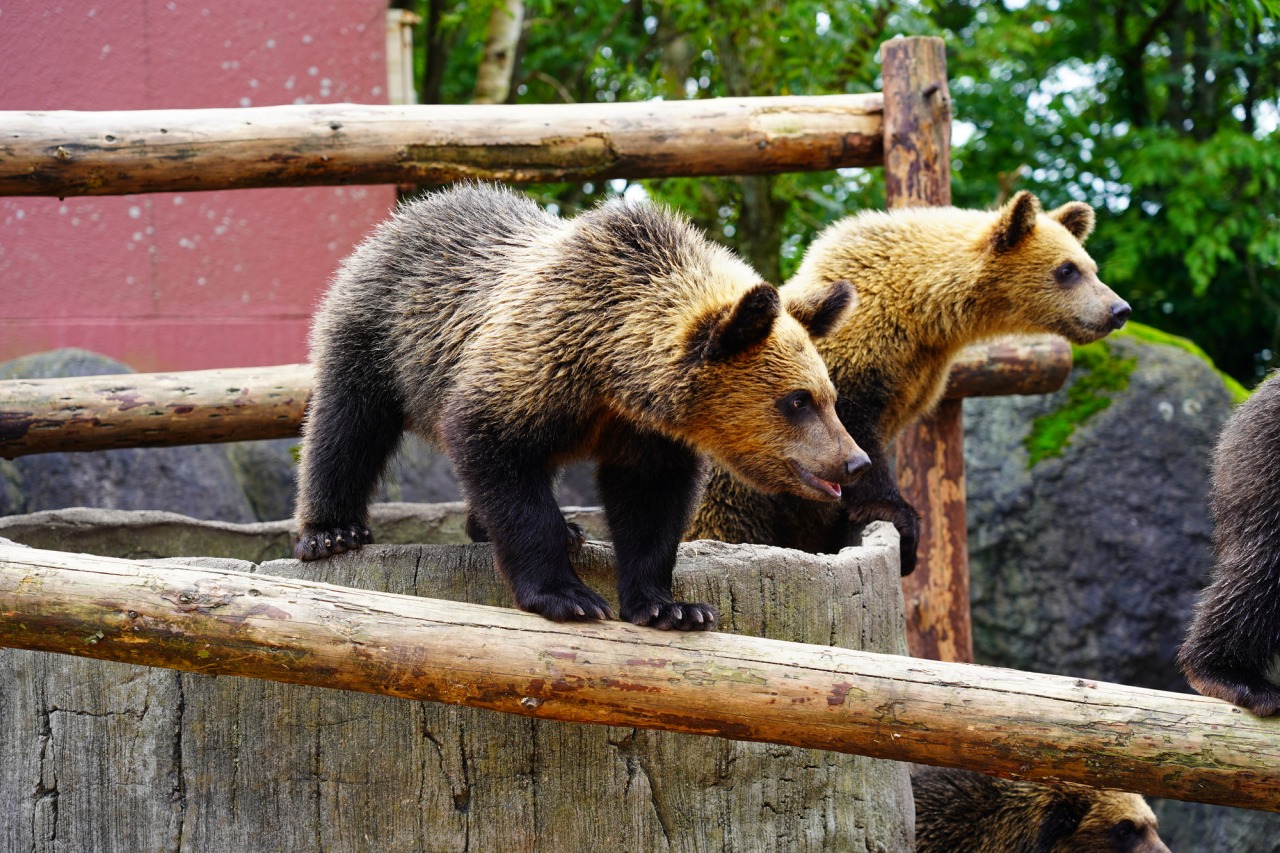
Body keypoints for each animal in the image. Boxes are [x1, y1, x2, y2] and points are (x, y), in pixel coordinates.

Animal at [294, 183, 865, 627]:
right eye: (797, 400)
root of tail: (407, 214)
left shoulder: (640, 431)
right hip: (380, 337)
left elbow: (650, 504)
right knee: (347, 428)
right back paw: (330, 531)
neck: (611, 368)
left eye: (830, 396)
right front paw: (568, 595)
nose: (855, 461)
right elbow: (502, 467)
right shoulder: (532, 369)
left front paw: (671, 607)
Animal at [691, 189, 1131, 568]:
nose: (1119, 309)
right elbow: (850, 442)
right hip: (723, 503)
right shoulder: (843, 372)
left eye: (1091, 266)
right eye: (1067, 269)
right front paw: (902, 521)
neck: (924, 321)